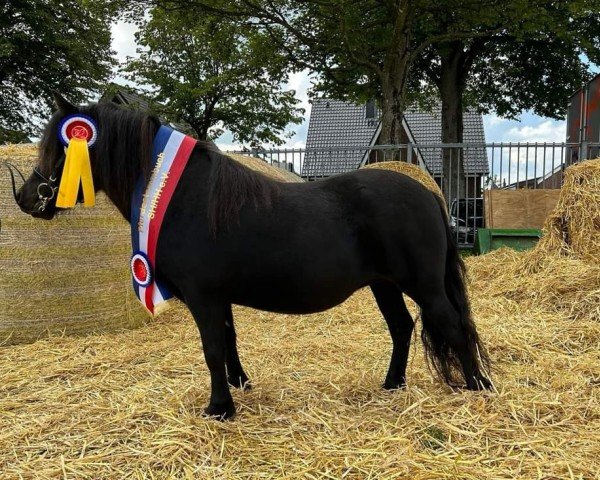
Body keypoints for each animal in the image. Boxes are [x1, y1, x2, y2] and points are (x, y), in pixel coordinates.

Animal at [16, 96, 490, 420]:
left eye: (62, 147)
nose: (26, 197)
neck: (183, 197)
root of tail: (429, 195)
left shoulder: (204, 296)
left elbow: (211, 348)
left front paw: (219, 408)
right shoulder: (218, 297)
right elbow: (228, 342)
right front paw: (238, 387)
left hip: (423, 285)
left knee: (451, 325)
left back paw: (479, 387)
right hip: (384, 284)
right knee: (402, 328)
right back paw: (392, 385)